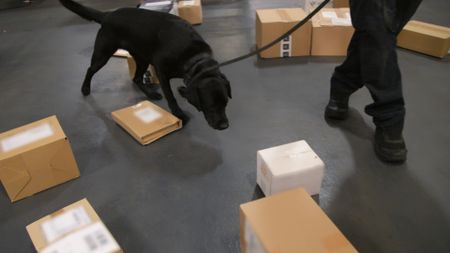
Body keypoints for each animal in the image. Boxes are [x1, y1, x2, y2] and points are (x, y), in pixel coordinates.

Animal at [59, 0, 232, 129]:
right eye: (210, 105)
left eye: (225, 103)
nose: (224, 126)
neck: (195, 58)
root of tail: (108, 14)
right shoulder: (162, 72)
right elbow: (171, 96)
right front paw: (179, 113)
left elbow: (185, 89)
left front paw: (183, 92)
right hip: (103, 54)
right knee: (90, 69)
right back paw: (85, 88)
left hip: (142, 59)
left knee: (136, 78)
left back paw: (151, 94)